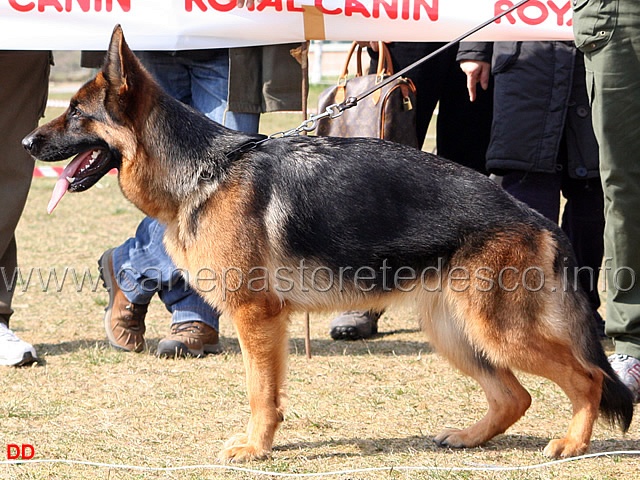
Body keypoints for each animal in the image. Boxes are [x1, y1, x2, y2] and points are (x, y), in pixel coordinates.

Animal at [22, 27, 632, 462]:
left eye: (76, 113)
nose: (27, 141)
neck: (206, 171)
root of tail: (535, 217)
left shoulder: (257, 317)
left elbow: (260, 393)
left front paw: (256, 447)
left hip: (498, 331)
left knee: (589, 378)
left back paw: (573, 443)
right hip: (456, 332)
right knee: (516, 396)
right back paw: (470, 436)